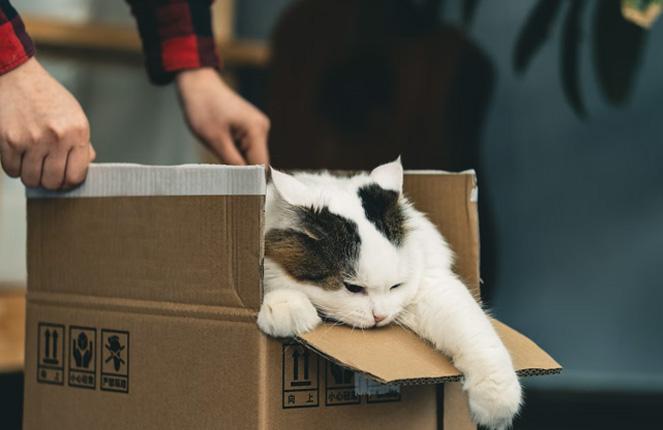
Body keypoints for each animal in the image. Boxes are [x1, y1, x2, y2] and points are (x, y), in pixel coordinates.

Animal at [256, 159, 520, 430]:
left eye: (395, 286)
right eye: (352, 287)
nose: (379, 317)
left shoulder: (432, 287)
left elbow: (475, 332)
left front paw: (497, 403)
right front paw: (287, 309)